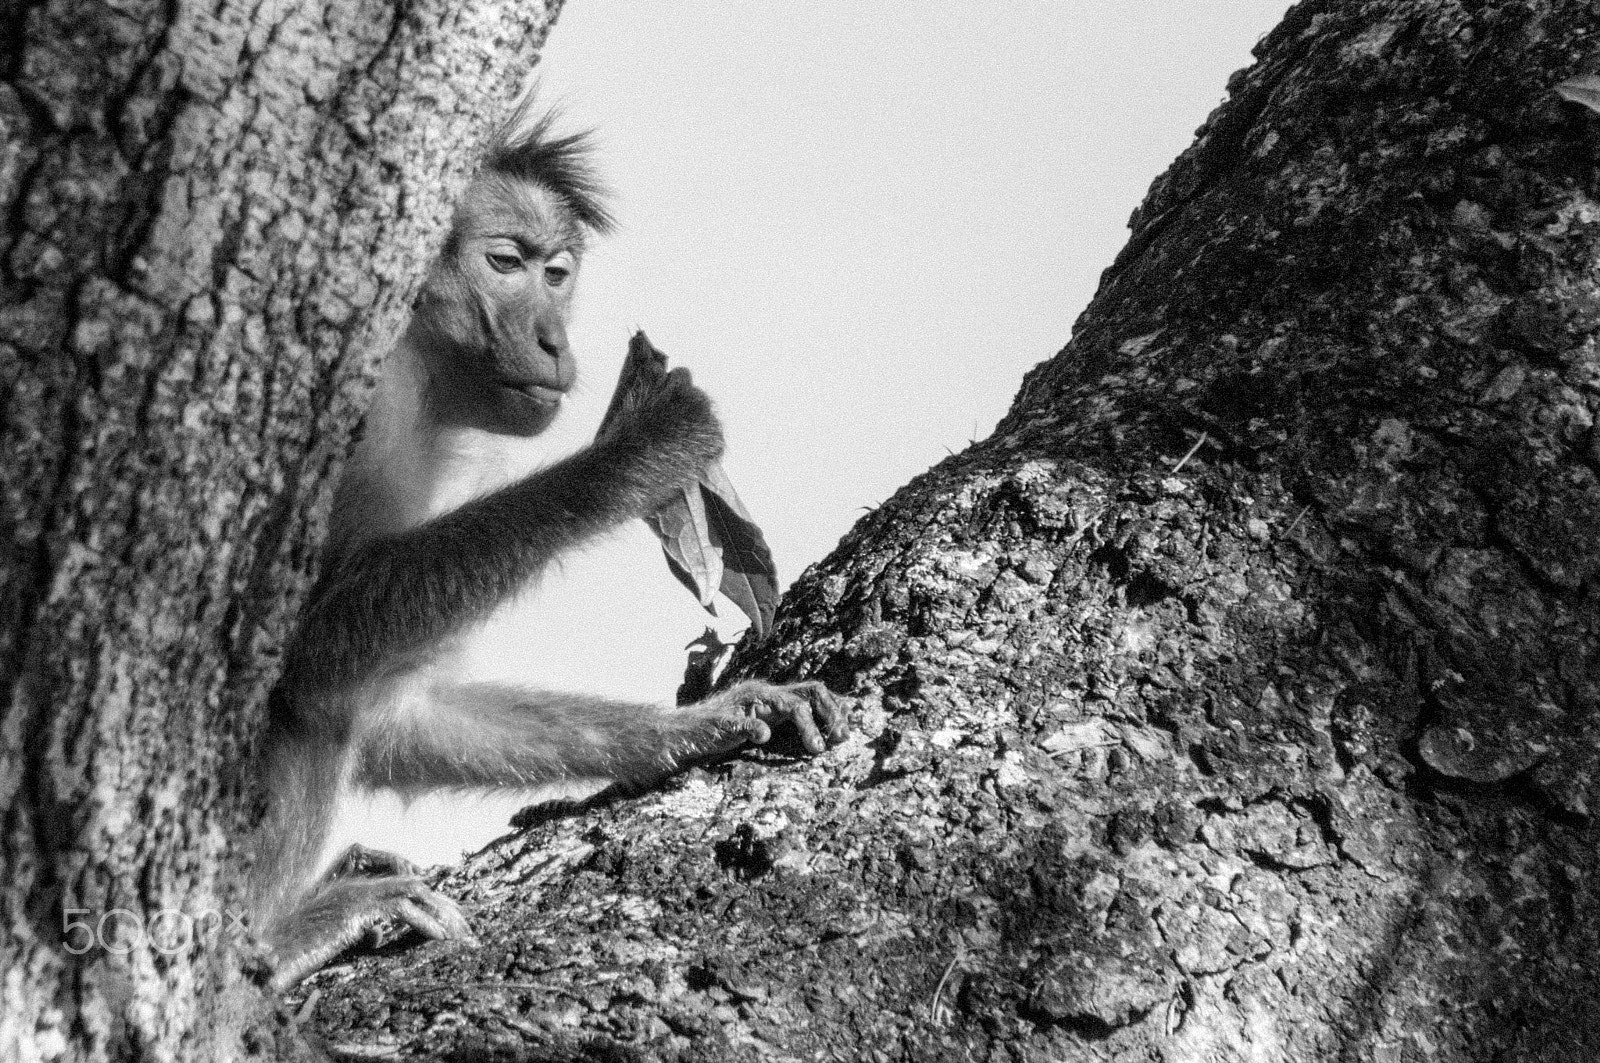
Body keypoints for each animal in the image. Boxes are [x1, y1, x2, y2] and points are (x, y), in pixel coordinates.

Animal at [250, 106, 848, 990]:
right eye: (505, 264)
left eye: (557, 273)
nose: (554, 340)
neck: (421, 366)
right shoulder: (366, 405)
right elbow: (311, 646)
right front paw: (634, 456)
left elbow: (393, 707)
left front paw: (706, 720)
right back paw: (267, 946)